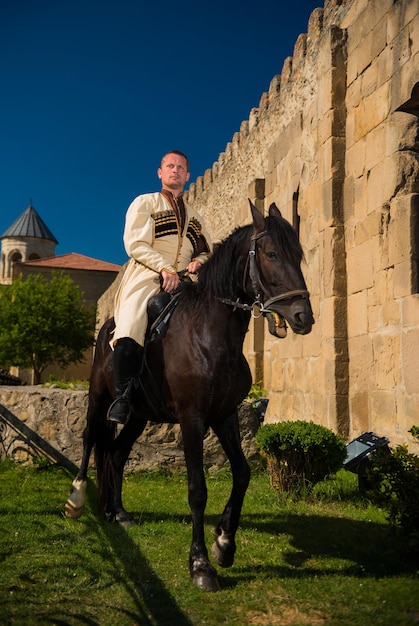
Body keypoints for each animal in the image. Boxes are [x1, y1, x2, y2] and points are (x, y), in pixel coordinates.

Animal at [66, 201, 316, 588]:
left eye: (299, 255)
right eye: (272, 253)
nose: (303, 316)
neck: (211, 336)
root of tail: (108, 328)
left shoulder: (224, 415)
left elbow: (242, 473)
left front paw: (224, 543)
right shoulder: (192, 419)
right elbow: (197, 489)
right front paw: (200, 563)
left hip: (138, 415)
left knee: (117, 455)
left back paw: (118, 511)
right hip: (99, 399)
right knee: (91, 439)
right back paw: (77, 499)